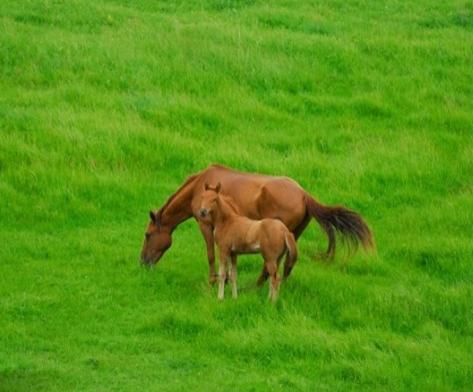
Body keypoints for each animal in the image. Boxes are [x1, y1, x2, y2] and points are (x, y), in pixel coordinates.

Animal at [140, 163, 372, 284]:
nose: (143, 261)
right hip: (292, 236)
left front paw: (213, 281)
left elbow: (211, 254)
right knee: (285, 264)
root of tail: (304, 195)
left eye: (148, 235)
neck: (200, 188)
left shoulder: (206, 225)